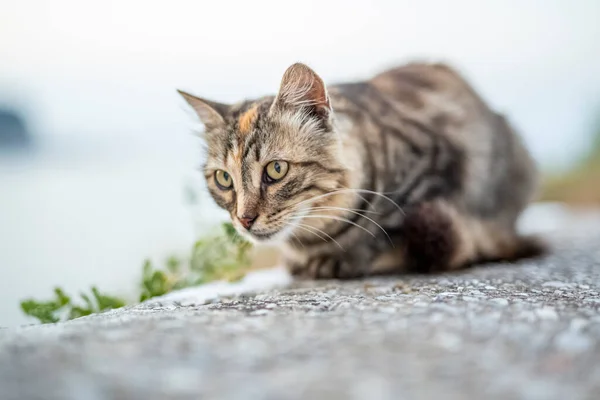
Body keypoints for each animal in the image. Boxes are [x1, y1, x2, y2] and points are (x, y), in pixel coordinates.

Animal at [178, 62, 544, 280]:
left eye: (276, 170)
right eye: (224, 179)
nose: (244, 219)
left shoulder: (439, 168)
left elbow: (393, 234)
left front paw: (343, 260)